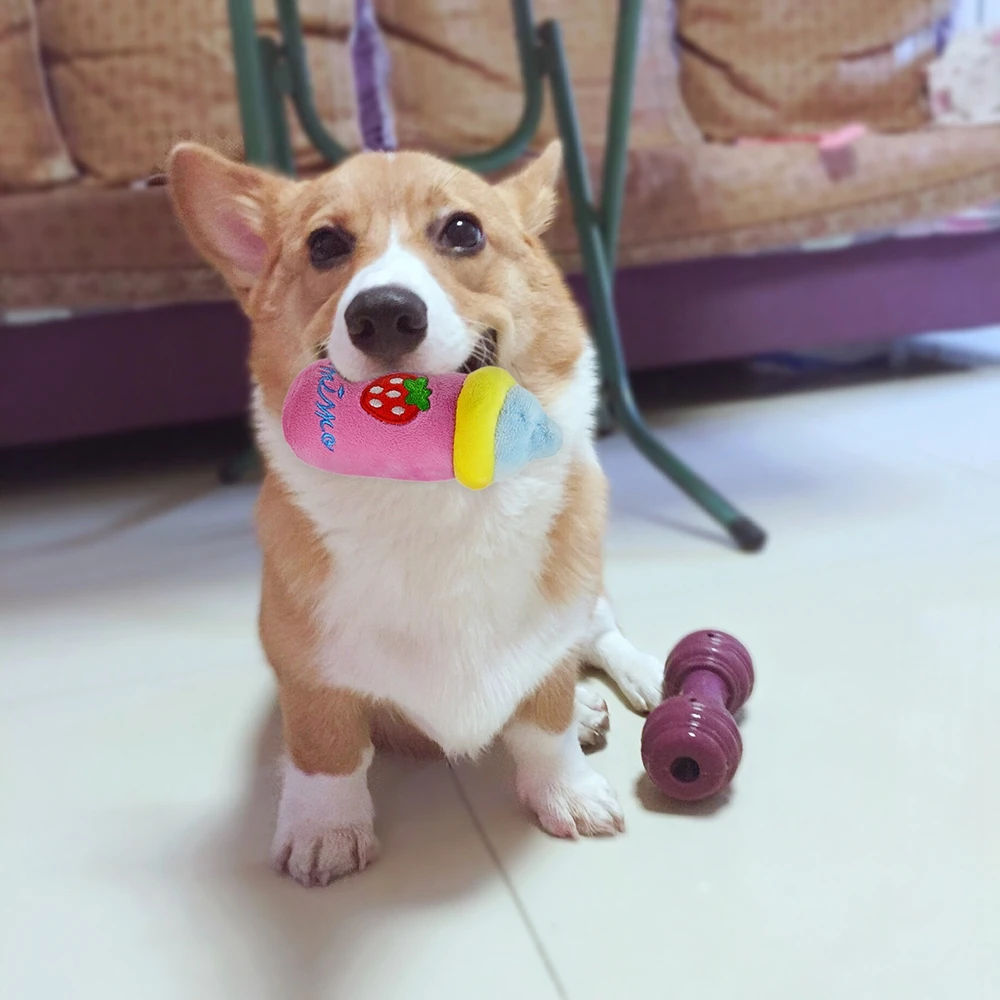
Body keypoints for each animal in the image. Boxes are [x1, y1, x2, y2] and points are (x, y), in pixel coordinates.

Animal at [168, 140, 663, 887]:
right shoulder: (307, 672)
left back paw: (639, 678)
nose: (383, 313)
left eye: (463, 231)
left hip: (587, 591)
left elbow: (545, 720)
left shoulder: (553, 628)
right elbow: (326, 751)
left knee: (600, 633)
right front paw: (324, 829)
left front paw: (566, 790)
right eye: (324, 244)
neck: (430, 492)